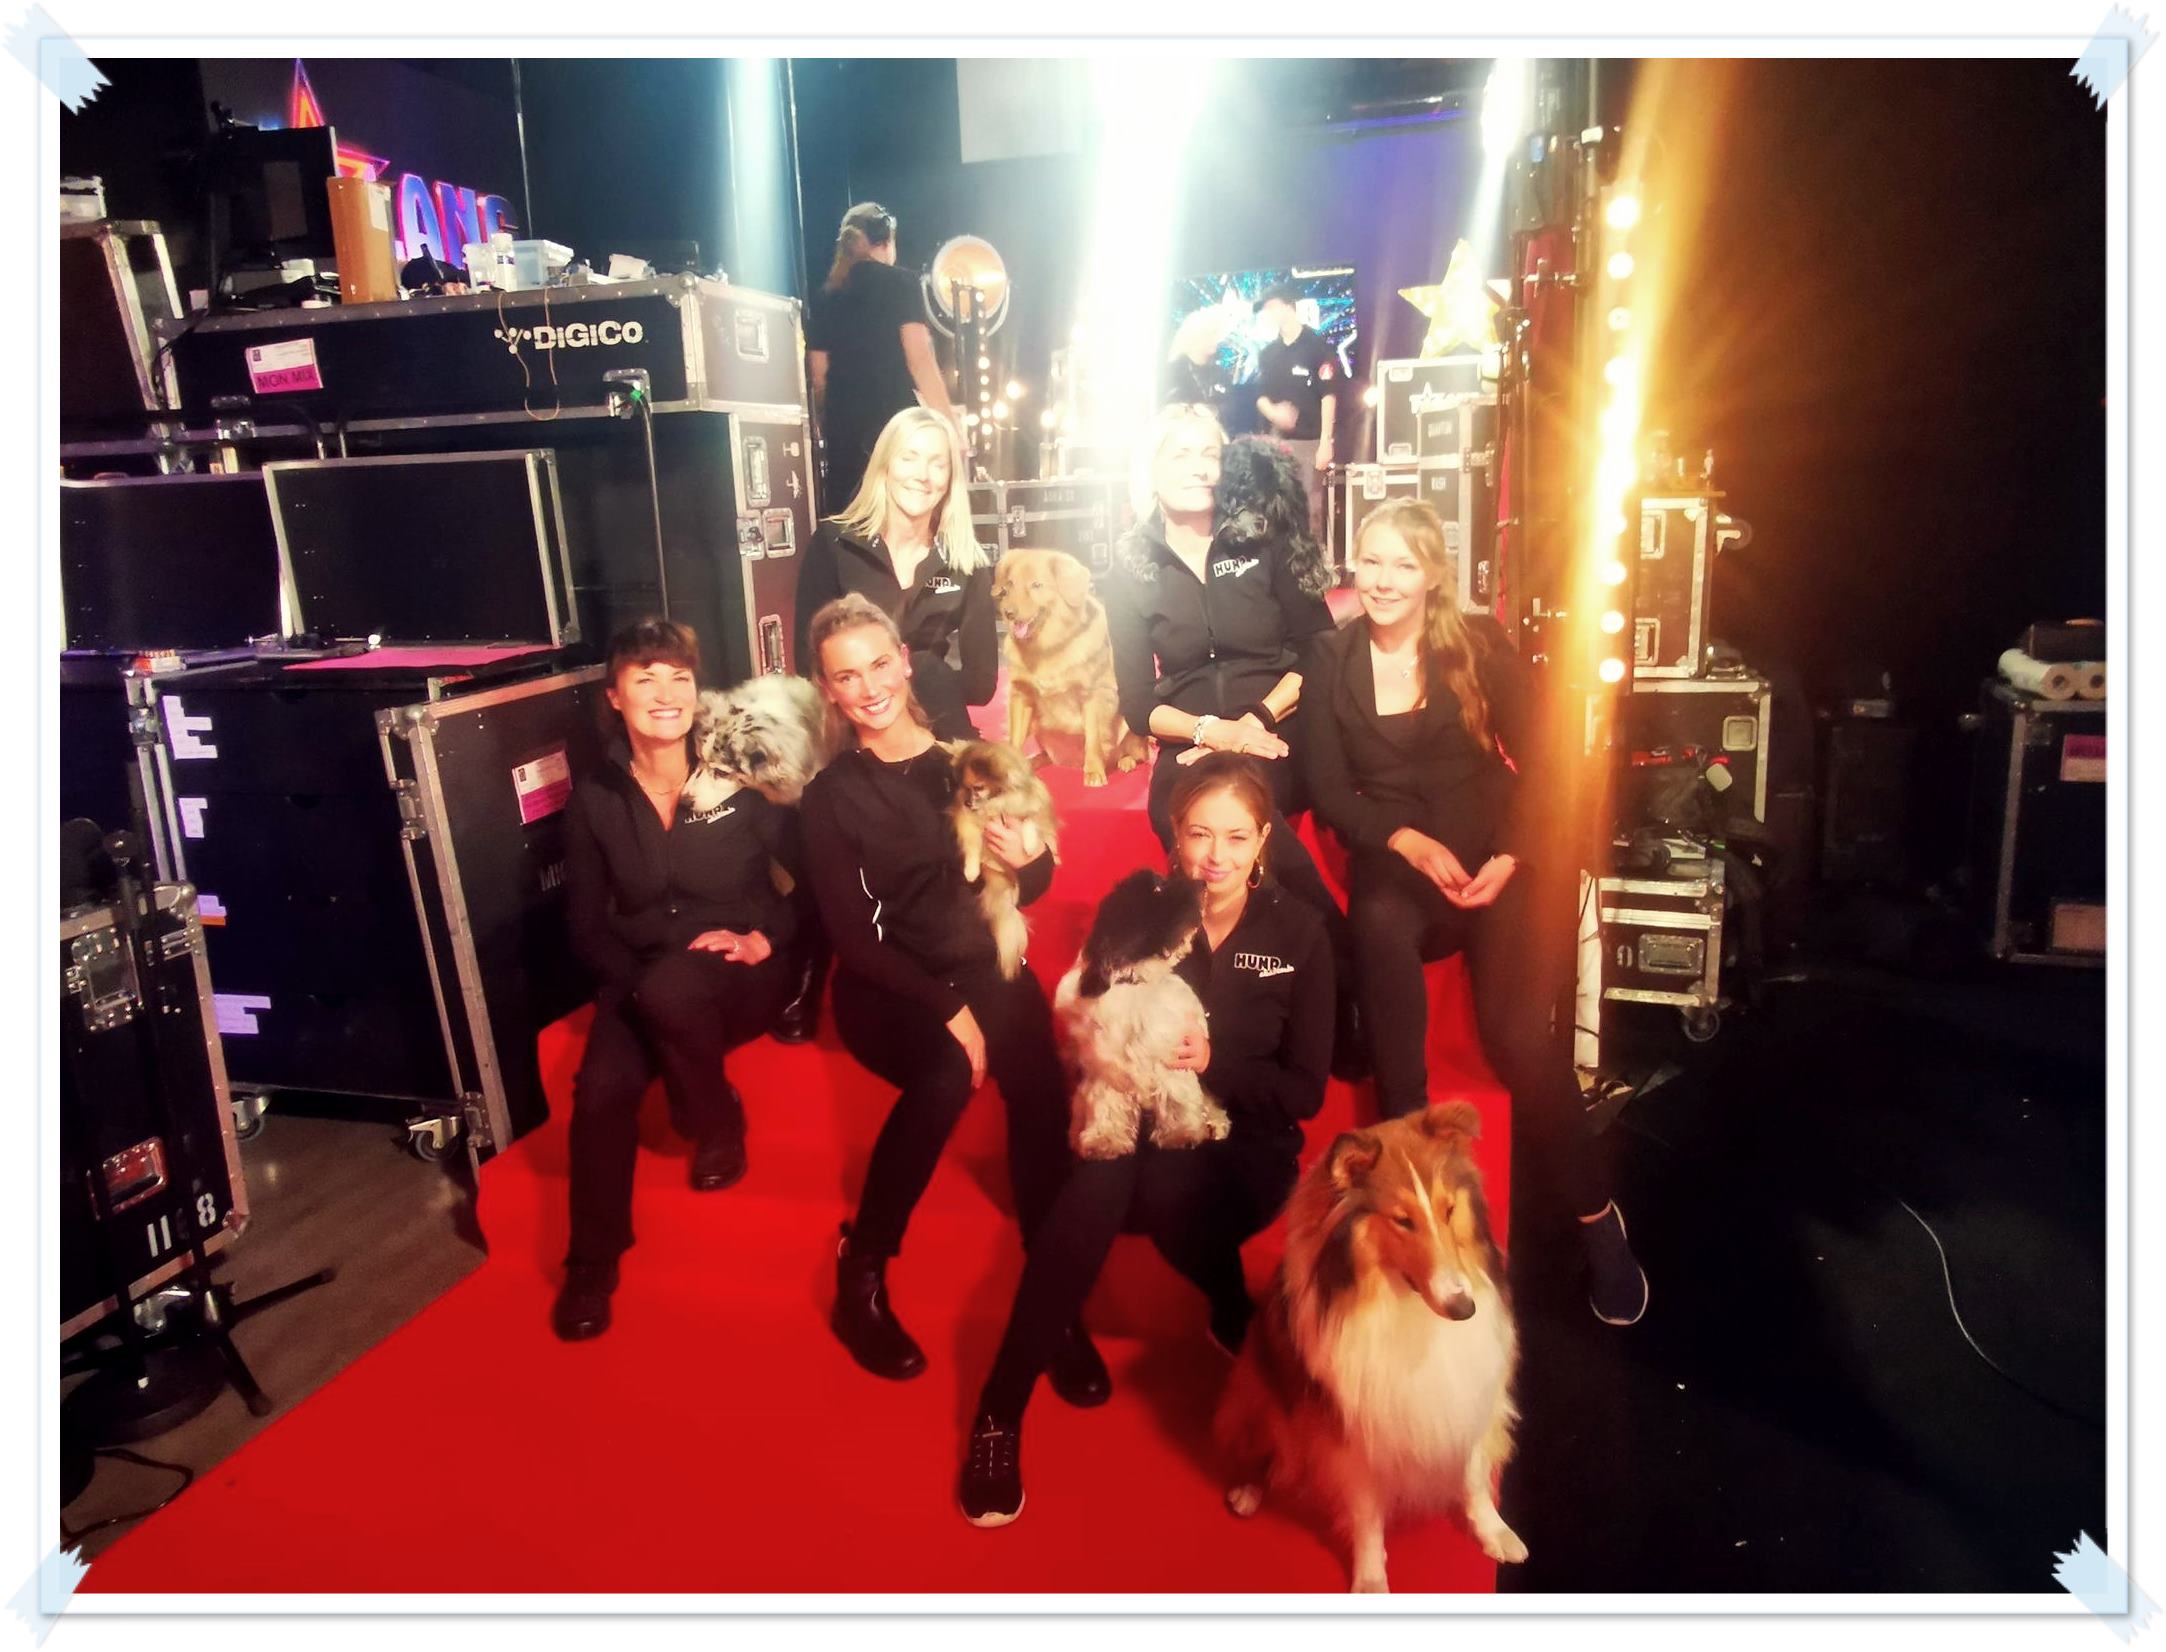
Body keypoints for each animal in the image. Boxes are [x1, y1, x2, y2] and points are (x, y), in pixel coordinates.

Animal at [948, 739, 1059, 981]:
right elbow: (973, 847)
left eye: (978, 787)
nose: (967, 803)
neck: (997, 803)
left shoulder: (1033, 811)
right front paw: (971, 871)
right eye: (964, 787)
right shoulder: (969, 824)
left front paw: (1029, 845)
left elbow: (1029, 822)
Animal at [991, 548, 1149, 788]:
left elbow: (1093, 739)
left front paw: (1094, 772)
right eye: (1009, 585)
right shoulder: (1020, 696)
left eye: (1037, 585)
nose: (1007, 613)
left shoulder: (1092, 696)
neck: (1047, 648)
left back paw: (1126, 761)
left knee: (1136, 751)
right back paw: (1033, 761)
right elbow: (1014, 739)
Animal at [1052, 869, 1230, 1159]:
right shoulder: (1106, 1068)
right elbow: (1105, 1105)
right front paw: (1104, 1140)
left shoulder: (1173, 1056)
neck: (1137, 981)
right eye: (1157, 889)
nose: (1202, 883)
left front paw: (1182, 1133)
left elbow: (1178, 1097)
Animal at [1215, 1101, 1523, 1592]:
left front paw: (1494, 1531)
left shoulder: (1471, 1393)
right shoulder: (1353, 1427)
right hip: (1261, 1387)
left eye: (1449, 1209)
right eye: (1402, 1220)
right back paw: (1249, 1489)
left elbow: (1474, 1475)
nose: (1464, 1309)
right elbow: (1366, 1513)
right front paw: (1371, 1578)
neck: (1407, 1306)